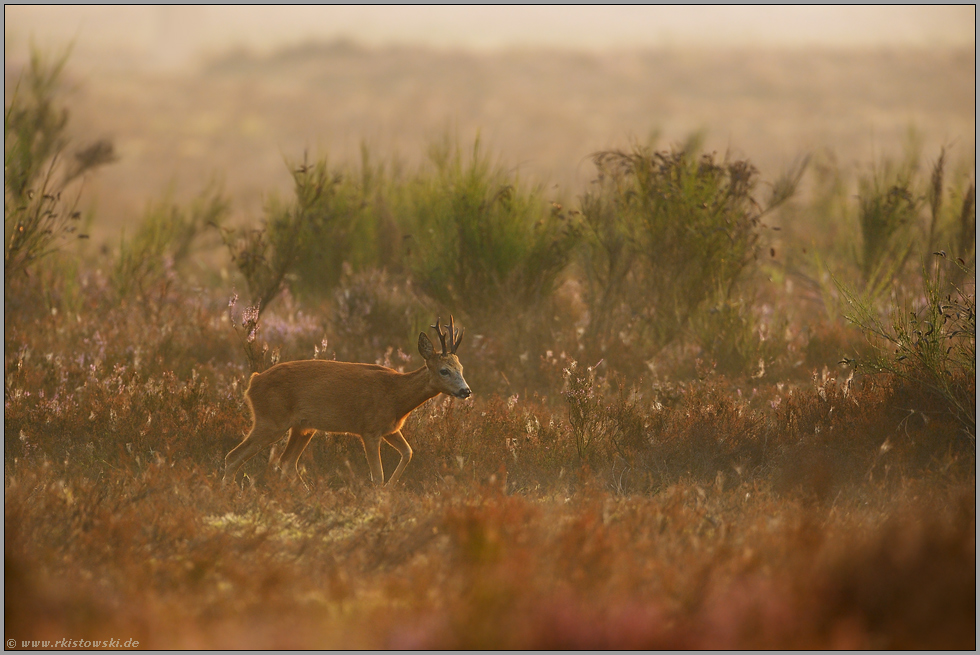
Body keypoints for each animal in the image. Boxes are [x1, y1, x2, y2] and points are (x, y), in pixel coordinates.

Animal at [224, 316, 468, 490]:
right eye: (444, 370)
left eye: (461, 368)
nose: (466, 390)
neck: (396, 396)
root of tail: (253, 381)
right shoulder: (369, 429)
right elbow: (377, 475)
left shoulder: (390, 429)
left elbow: (408, 453)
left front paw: (390, 489)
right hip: (271, 420)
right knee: (233, 456)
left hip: (303, 427)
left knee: (286, 462)